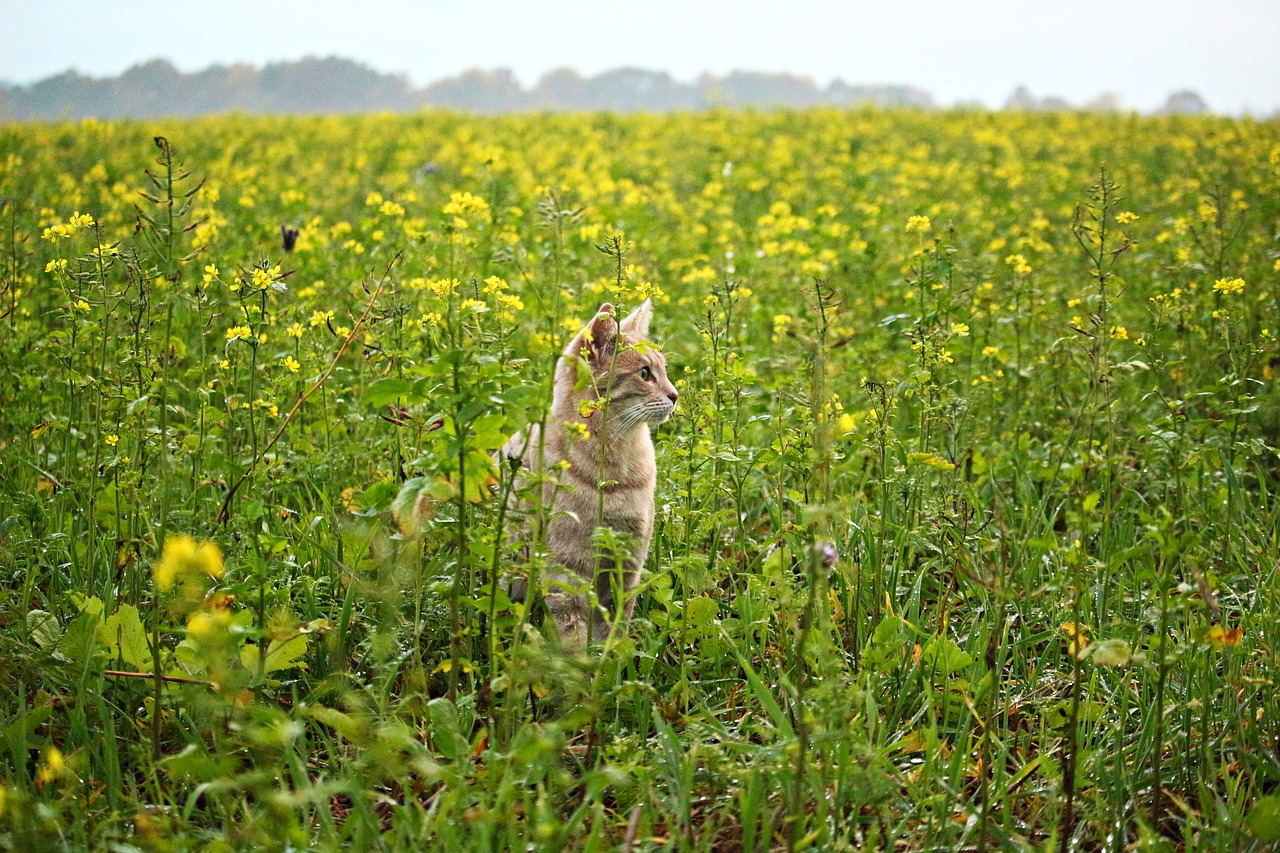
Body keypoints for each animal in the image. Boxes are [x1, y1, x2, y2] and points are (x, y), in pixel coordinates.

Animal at [501, 298, 680, 645]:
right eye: (645, 373)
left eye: (664, 371)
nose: (675, 395)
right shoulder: (567, 568)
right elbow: (572, 635)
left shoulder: (627, 562)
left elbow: (612, 630)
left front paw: (609, 657)